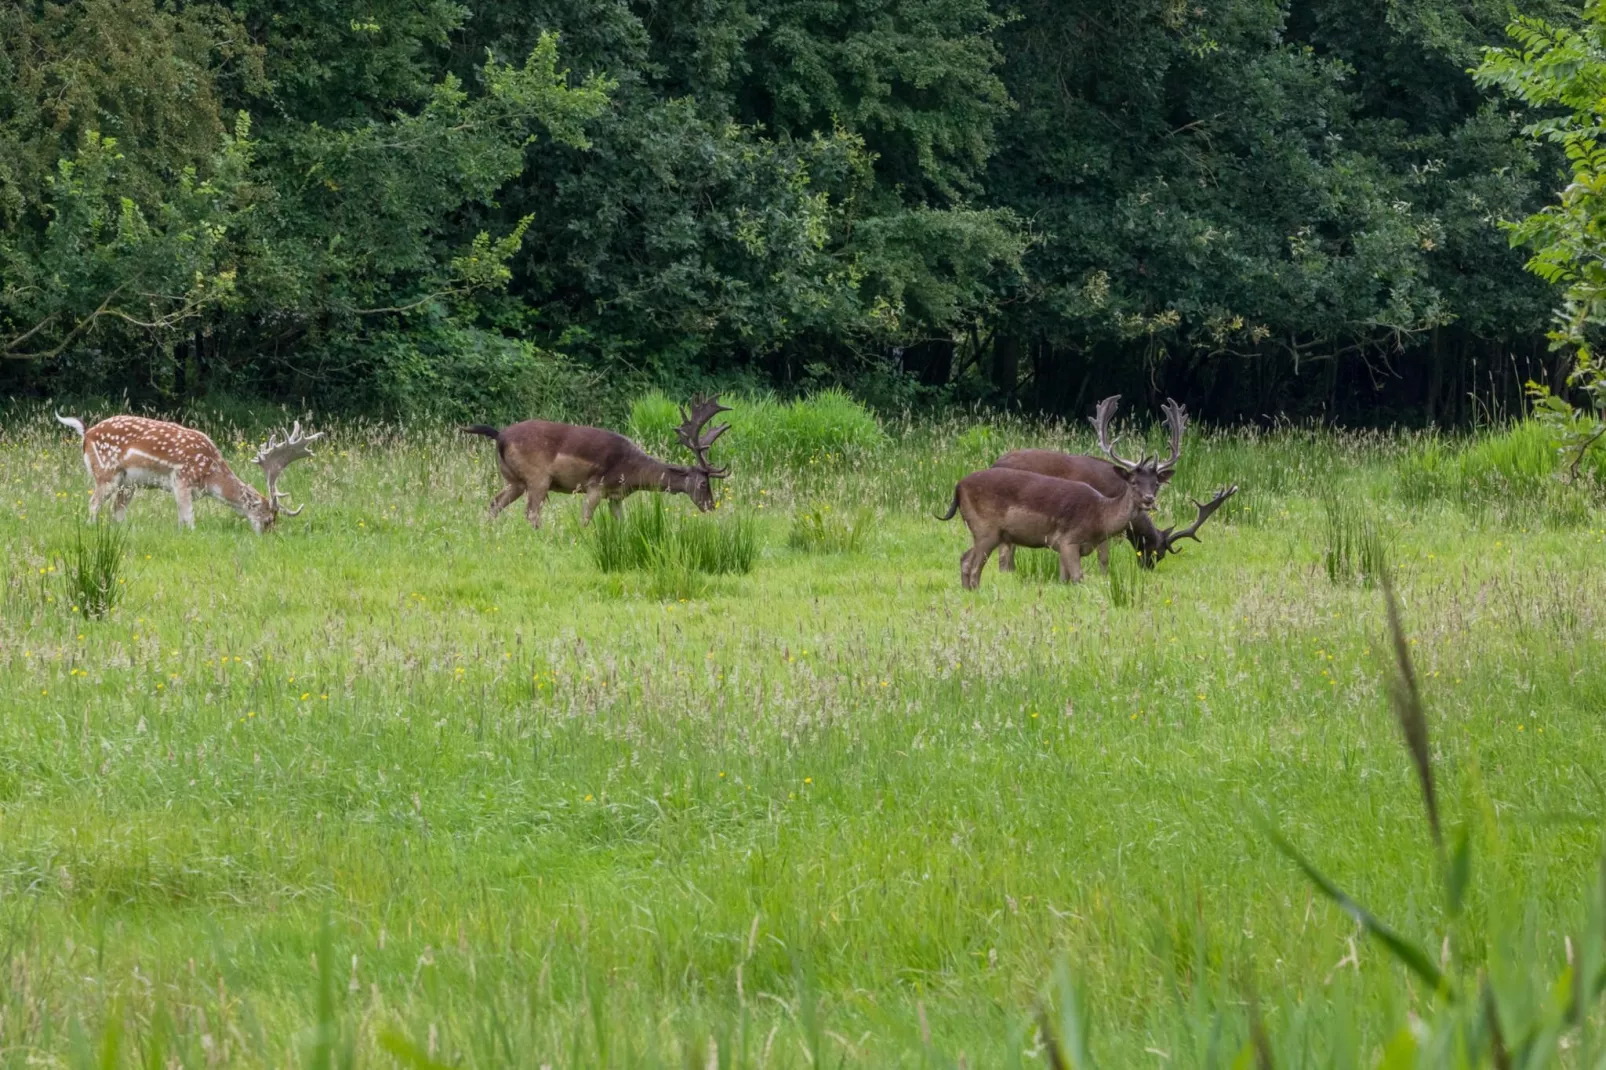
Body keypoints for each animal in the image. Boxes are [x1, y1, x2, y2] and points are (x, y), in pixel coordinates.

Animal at [54, 409, 322, 530]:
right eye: (267, 519)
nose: (269, 535)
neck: (210, 474)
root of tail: (86, 433)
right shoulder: (182, 479)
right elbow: (188, 518)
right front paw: (190, 534)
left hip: (129, 484)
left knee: (116, 510)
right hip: (107, 473)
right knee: (93, 504)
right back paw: (91, 528)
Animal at [462, 393, 732, 526]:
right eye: (704, 483)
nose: (711, 506)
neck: (632, 472)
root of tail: (500, 436)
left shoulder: (615, 496)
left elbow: (622, 523)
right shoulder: (596, 486)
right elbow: (585, 519)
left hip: (514, 479)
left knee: (494, 503)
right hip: (538, 477)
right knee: (531, 512)